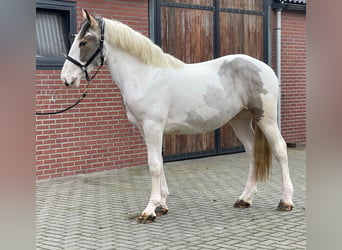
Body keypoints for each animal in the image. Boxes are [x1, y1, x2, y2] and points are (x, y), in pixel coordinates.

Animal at [60, 9, 292, 224]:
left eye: (83, 42)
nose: (66, 79)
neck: (145, 76)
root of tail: (265, 68)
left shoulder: (153, 126)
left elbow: (154, 165)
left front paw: (149, 211)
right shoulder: (146, 129)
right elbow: (159, 162)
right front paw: (161, 205)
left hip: (266, 118)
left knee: (280, 149)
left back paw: (286, 201)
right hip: (240, 120)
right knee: (252, 152)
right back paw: (245, 199)